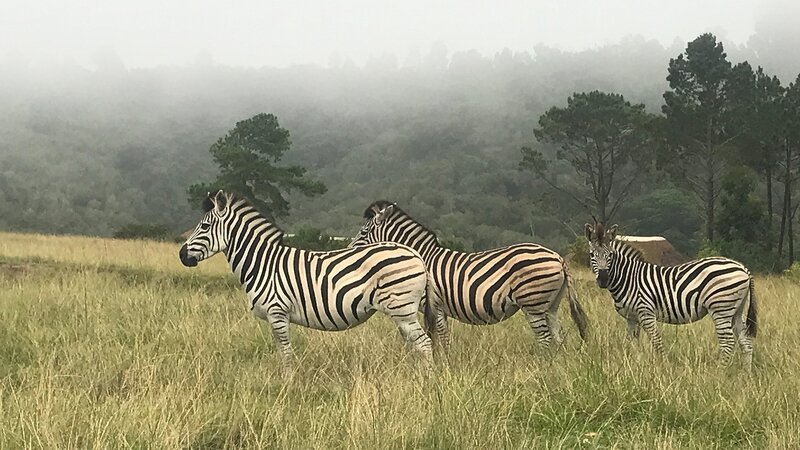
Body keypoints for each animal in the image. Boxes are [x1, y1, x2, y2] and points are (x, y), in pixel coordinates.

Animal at [179, 190, 433, 375]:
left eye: (204, 226)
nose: (181, 255)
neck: (263, 263)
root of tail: (415, 254)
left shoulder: (277, 312)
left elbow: (286, 352)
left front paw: (288, 383)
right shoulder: (274, 317)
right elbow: (280, 350)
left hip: (401, 309)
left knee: (425, 343)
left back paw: (426, 380)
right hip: (402, 312)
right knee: (416, 344)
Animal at [349, 201, 589, 350]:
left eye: (363, 232)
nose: (349, 250)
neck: (422, 257)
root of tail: (558, 257)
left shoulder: (435, 306)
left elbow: (441, 338)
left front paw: (444, 364)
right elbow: (438, 338)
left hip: (533, 303)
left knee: (545, 338)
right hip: (550, 305)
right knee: (557, 337)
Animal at [585, 222, 757, 369]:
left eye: (610, 255)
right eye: (592, 254)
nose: (603, 279)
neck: (629, 278)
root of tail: (742, 268)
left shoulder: (645, 312)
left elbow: (657, 342)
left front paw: (663, 367)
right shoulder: (631, 317)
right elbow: (633, 343)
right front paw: (635, 365)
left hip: (721, 308)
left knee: (728, 342)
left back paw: (720, 372)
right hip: (735, 310)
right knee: (745, 341)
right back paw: (745, 374)